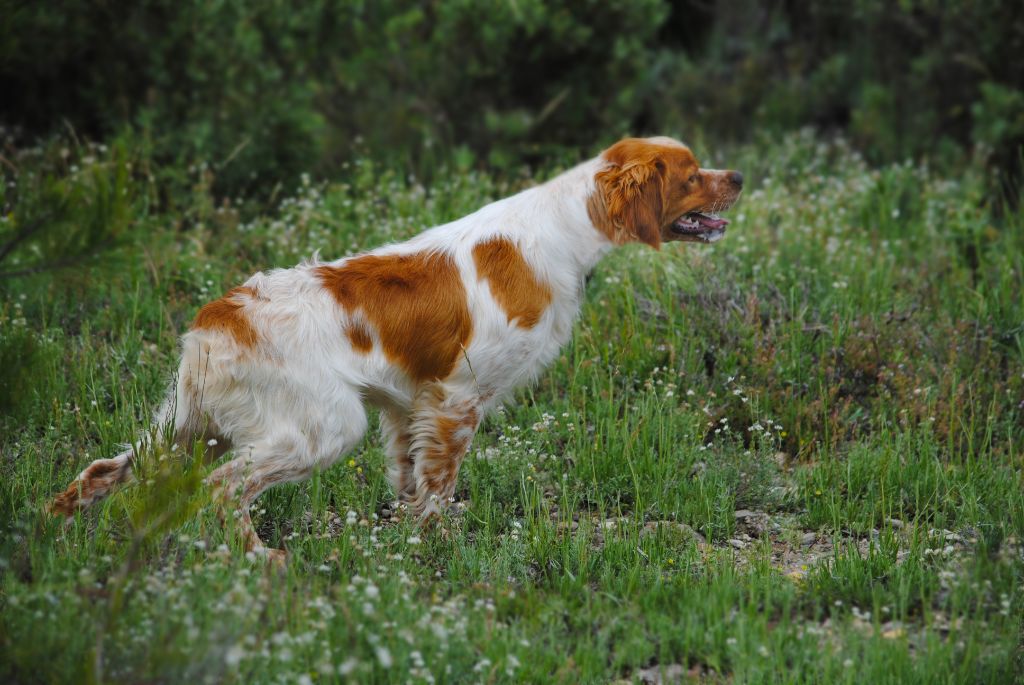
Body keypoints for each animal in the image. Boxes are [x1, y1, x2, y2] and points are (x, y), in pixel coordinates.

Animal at [51, 135, 741, 561]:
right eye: (692, 175)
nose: (737, 175)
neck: (565, 229)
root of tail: (217, 319)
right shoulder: (456, 399)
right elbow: (437, 490)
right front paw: (434, 551)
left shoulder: (409, 405)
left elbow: (411, 484)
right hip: (322, 427)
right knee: (223, 492)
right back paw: (262, 560)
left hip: (186, 424)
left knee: (101, 472)